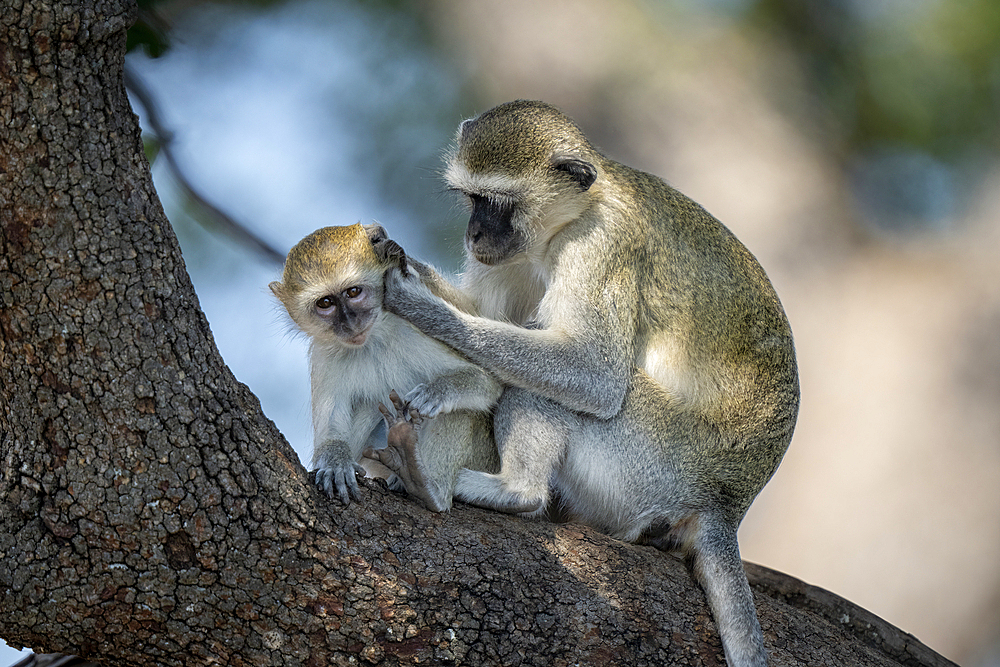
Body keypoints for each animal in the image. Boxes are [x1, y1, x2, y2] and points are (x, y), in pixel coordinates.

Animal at [270, 224, 500, 512]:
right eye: (325, 303)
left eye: (353, 292)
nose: (350, 323)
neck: (371, 340)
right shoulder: (324, 356)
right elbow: (329, 432)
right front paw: (336, 462)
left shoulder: (411, 329)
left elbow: (486, 381)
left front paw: (438, 391)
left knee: (462, 410)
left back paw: (429, 488)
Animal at [376, 100, 804, 667]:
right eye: (471, 199)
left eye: (498, 203)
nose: (474, 236)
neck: (577, 211)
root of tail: (727, 502)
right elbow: (486, 312)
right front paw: (402, 263)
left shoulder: (600, 244)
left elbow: (592, 374)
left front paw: (418, 306)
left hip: (654, 463)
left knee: (543, 388)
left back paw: (514, 491)